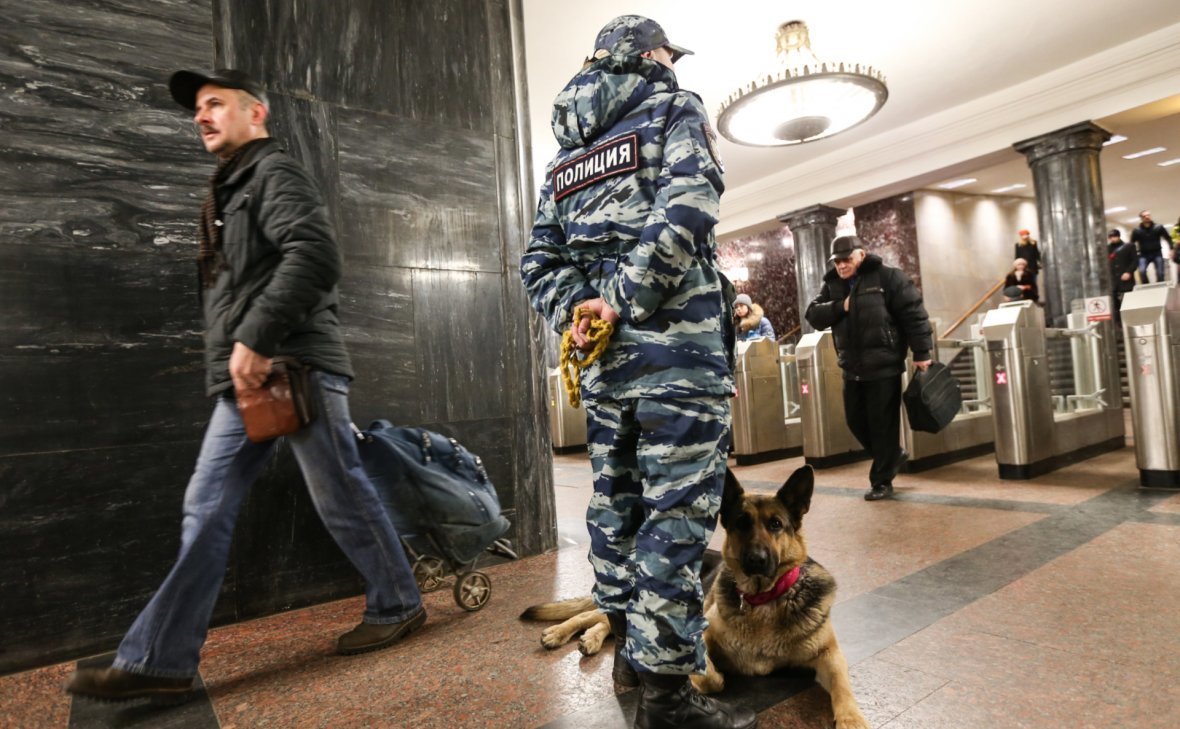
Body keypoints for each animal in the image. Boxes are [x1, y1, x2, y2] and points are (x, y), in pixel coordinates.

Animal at [521, 464, 873, 726]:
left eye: (776, 524)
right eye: (741, 524)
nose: (756, 560)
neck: (761, 600)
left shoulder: (829, 654)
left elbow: (843, 687)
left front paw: (852, 719)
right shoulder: (699, 637)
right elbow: (716, 679)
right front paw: (692, 683)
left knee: (607, 623)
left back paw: (591, 640)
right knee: (592, 614)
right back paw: (559, 633)